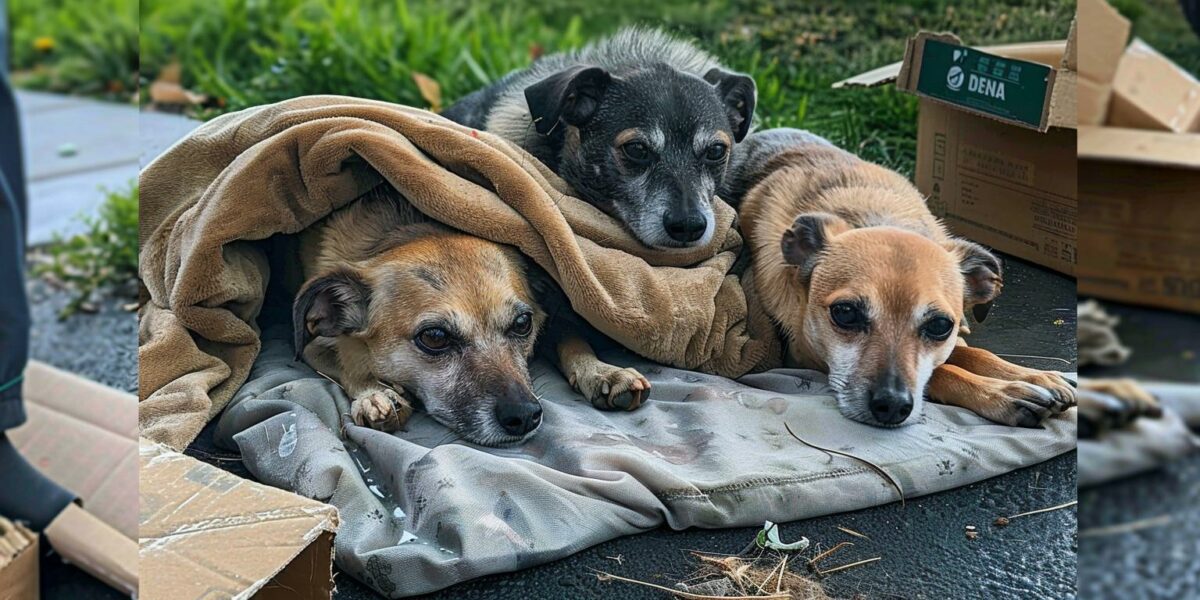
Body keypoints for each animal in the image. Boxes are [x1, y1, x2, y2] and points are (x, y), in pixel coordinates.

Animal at [289, 187, 648, 446]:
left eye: (523, 324)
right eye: (434, 337)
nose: (524, 416)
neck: (405, 232)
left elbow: (571, 338)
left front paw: (601, 371)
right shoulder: (312, 345)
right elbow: (346, 362)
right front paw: (375, 394)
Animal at [729, 130, 1080, 427]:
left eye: (940, 326)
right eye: (845, 313)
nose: (892, 406)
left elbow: (970, 352)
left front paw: (1035, 376)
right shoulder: (803, 354)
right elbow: (942, 371)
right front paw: (1003, 393)